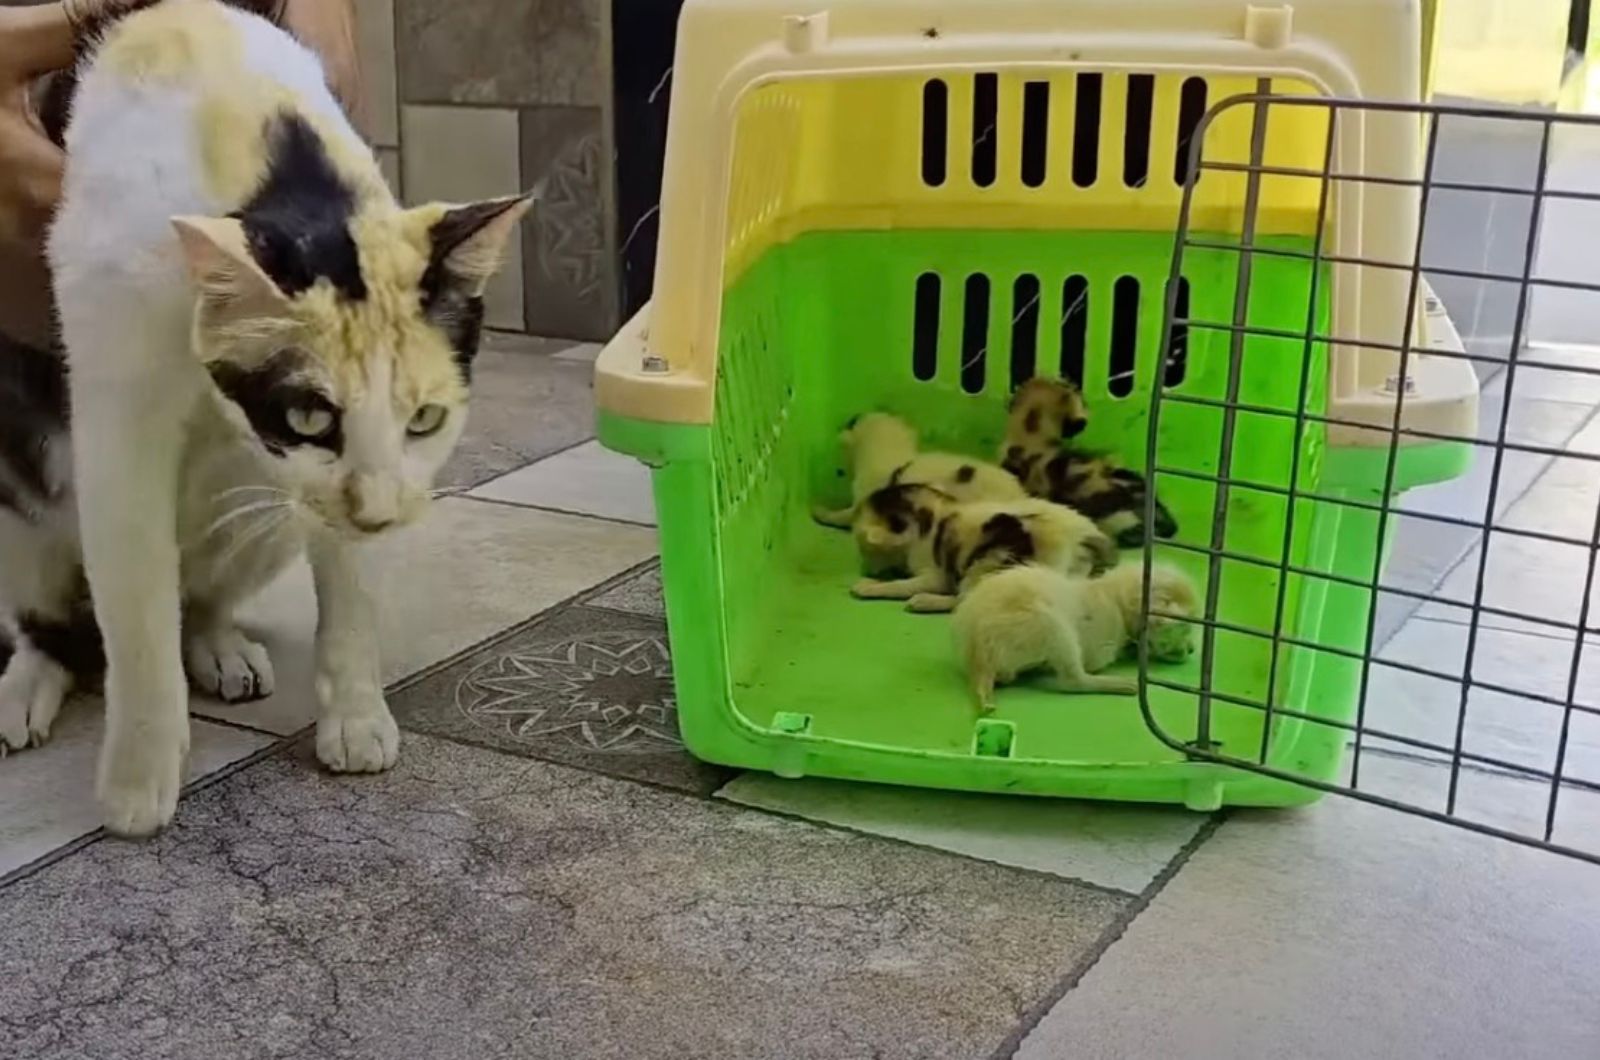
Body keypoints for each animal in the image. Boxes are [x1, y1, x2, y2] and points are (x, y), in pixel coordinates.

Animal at [0, 0, 531, 839]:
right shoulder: (118, 401)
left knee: (200, 594)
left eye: (424, 419)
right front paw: (138, 781)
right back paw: (30, 683)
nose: (379, 513)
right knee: (49, 616)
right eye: (308, 416)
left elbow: (351, 585)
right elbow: (137, 608)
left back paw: (220, 647)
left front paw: (356, 717)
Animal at [851, 483, 1113, 614]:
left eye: (865, 550)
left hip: (986, 562)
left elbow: (902, 585)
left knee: (964, 600)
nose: (865, 568)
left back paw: (924, 602)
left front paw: (870, 586)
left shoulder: (935, 574)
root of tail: (1083, 535)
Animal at [947, 563, 1203, 714]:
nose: (1191, 651)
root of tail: (979, 658)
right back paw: (1124, 684)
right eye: (1187, 627)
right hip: (1055, 630)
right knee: (1073, 680)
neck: (1116, 600)